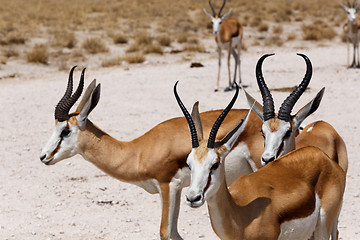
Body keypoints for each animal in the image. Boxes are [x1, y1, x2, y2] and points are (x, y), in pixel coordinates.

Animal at [174, 81, 346, 239]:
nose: (193, 198)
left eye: (215, 164)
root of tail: (323, 157)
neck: (240, 215)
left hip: (322, 228)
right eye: (189, 164)